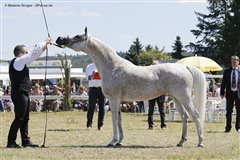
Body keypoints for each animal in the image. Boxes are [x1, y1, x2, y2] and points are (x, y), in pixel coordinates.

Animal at [55, 27, 206, 148]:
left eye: (77, 36)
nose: (59, 39)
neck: (112, 66)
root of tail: (184, 67)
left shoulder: (114, 100)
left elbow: (114, 120)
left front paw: (112, 141)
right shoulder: (117, 101)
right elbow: (119, 120)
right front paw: (119, 141)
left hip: (184, 98)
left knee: (195, 115)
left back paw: (200, 142)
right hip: (176, 98)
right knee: (185, 116)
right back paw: (181, 142)